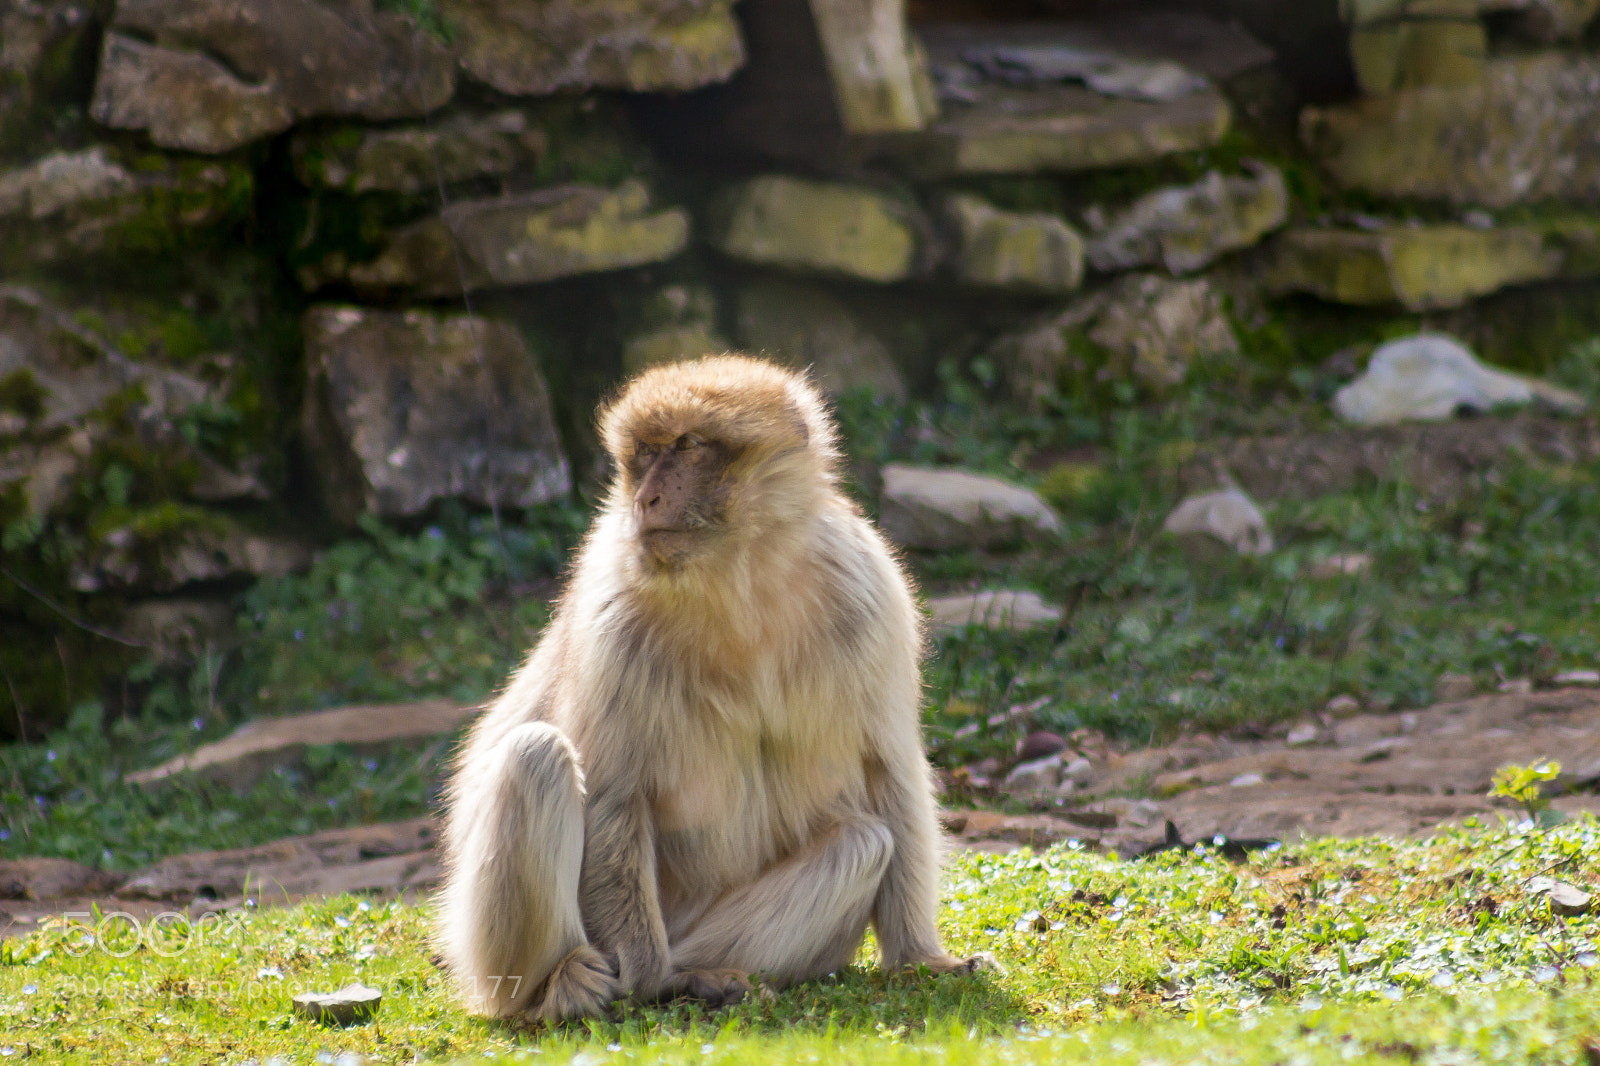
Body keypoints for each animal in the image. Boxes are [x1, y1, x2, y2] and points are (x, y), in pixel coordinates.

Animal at [434, 354, 987, 1022]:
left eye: (687, 447)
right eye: (644, 454)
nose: (644, 497)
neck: (738, 581)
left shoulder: (869, 592)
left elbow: (888, 769)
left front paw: (919, 957)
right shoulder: (612, 612)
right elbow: (615, 795)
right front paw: (643, 980)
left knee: (862, 843)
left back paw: (694, 975)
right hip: (500, 962)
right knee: (535, 756)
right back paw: (584, 985)